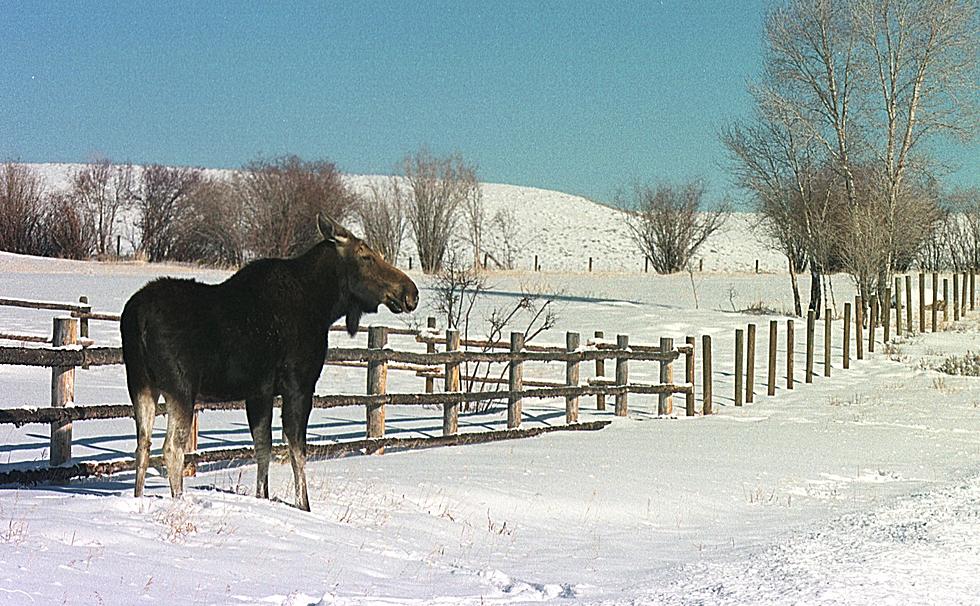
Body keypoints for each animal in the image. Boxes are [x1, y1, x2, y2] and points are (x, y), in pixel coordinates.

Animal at [119, 216, 418, 510]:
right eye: (366, 256)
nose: (410, 292)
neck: (324, 307)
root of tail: (137, 318)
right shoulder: (299, 386)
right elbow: (297, 450)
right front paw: (304, 505)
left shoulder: (258, 392)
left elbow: (263, 447)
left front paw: (262, 496)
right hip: (180, 387)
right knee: (171, 448)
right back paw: (180, 500)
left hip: (140, 384)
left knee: (142, 445)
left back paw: (138, 498)